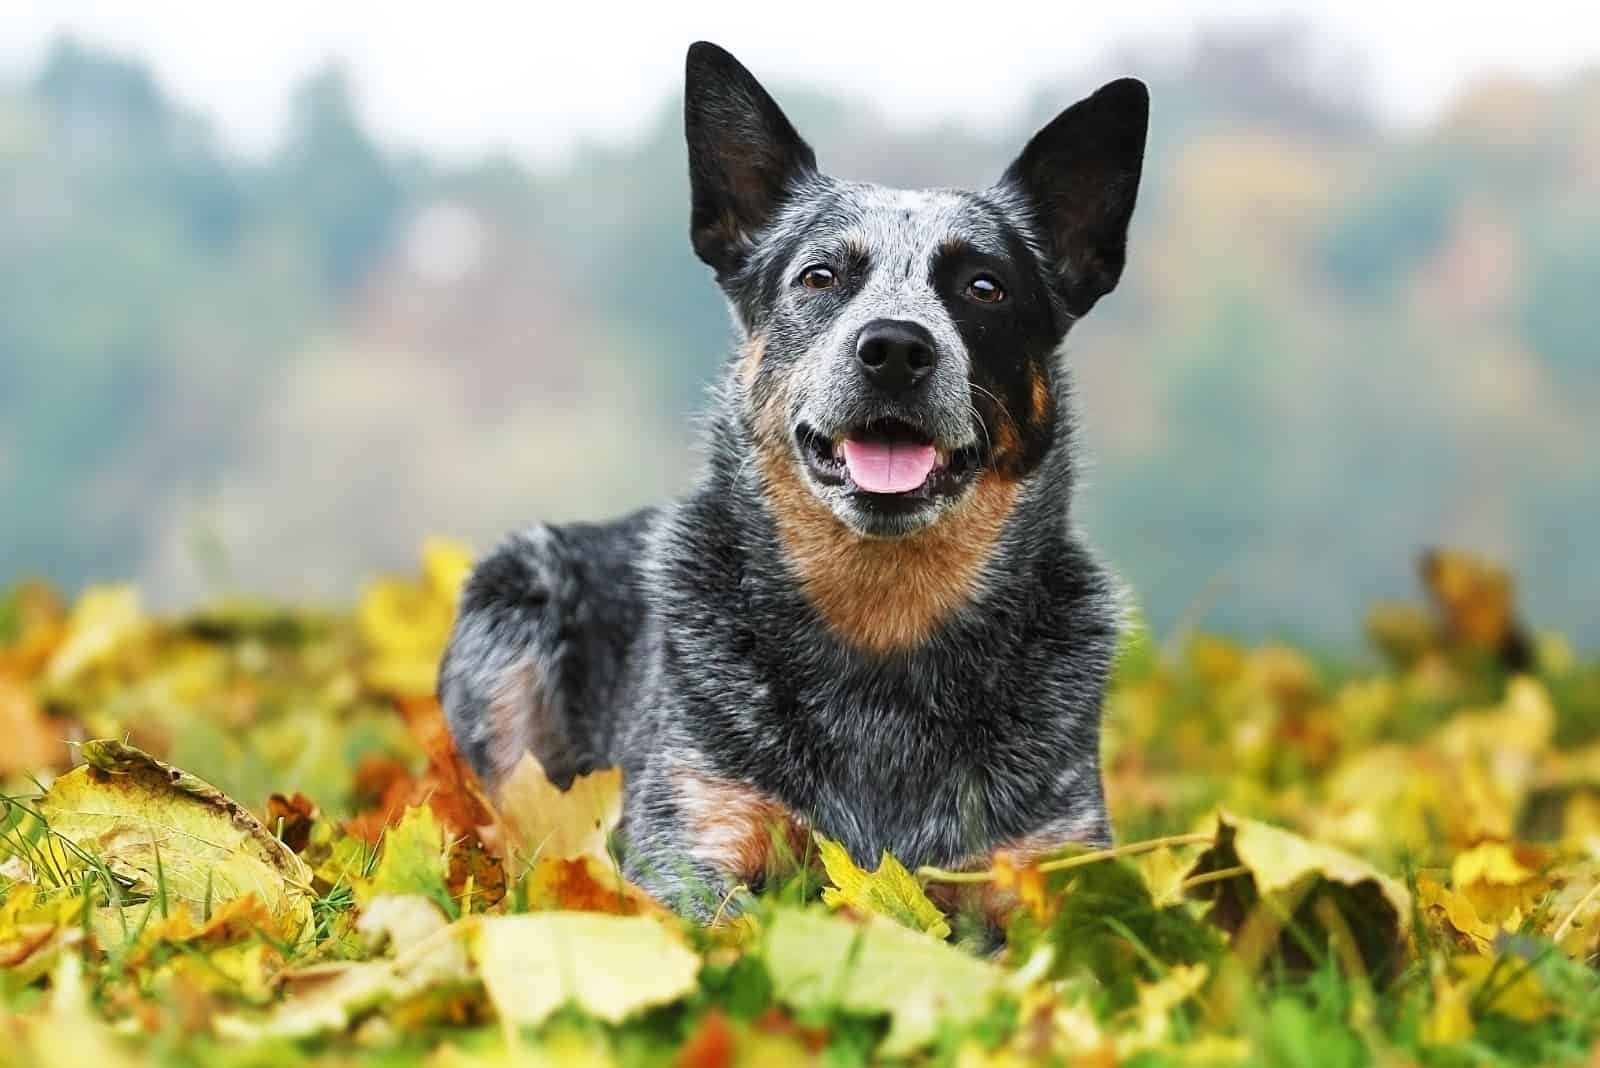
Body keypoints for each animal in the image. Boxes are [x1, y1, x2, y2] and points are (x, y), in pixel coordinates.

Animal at [438, 43, 1145, 927]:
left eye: (985, 287)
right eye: (819, 275)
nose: (896, 348)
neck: (885, 627)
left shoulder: (1055, 862)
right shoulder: (693, 840)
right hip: (511, 604)